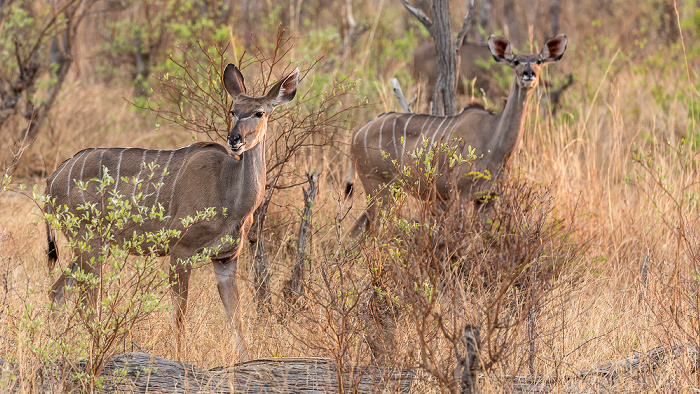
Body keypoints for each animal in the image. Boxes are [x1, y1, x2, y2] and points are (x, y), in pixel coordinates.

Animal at [45, 62, 300, 360]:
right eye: (233, 111)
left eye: (259, 112)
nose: (234, 138)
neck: (231, 193)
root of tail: (53, 178)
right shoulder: (181, 251)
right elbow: (180, 315)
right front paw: (181, 360)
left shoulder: (225, 259)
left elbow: (236, 318)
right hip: (89, 243)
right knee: (85, 301)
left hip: (93, 246)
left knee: (57, 291)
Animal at [348, 34, 568, 234]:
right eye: (515, 61)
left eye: (539, 61)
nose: (528, 74)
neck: (495, 141)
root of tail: (357, 133)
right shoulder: (460, 195)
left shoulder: (487, 198)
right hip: (378, 187)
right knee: (373, 229)